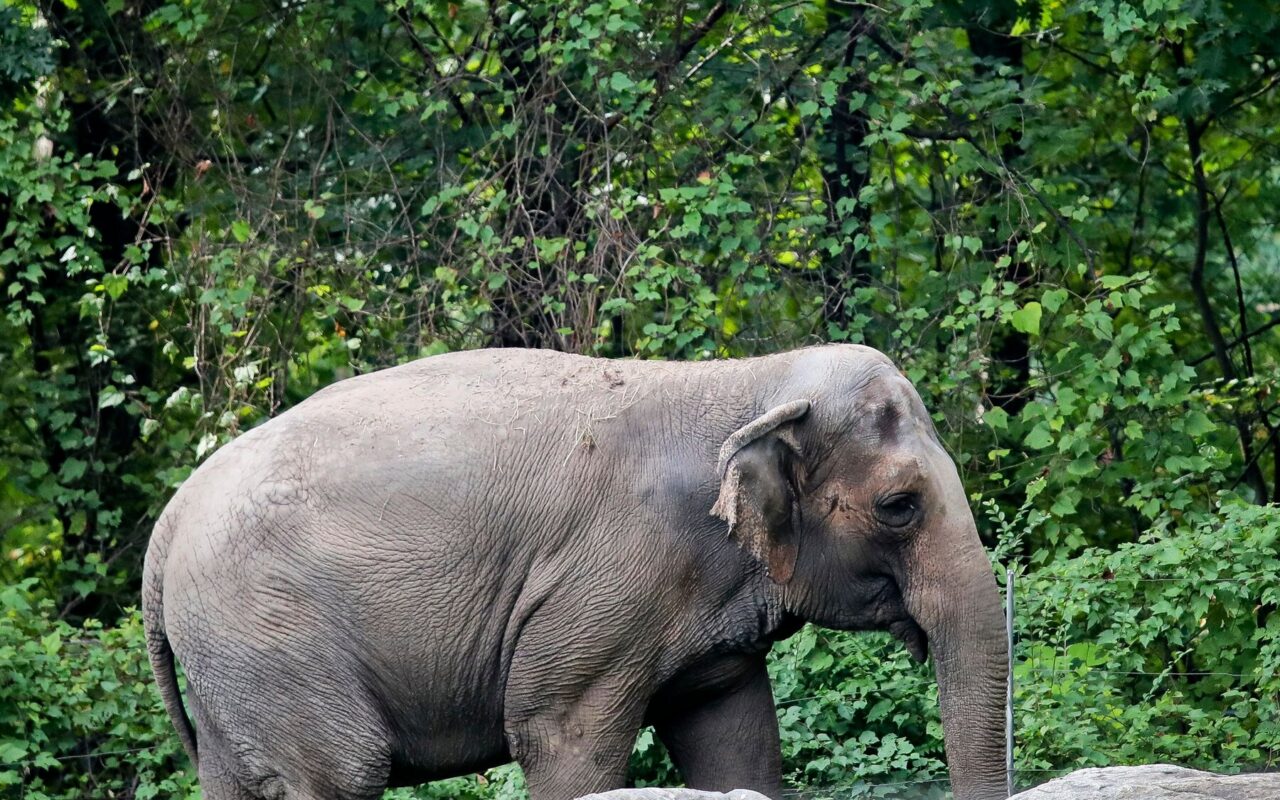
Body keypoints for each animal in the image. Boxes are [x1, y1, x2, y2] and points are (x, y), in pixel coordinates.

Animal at [142, 344, 1008, 800]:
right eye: (899, 506)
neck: (744, 378)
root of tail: (169, 519)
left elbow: (736, 742)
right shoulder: (607, 586)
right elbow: (563, 738)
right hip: (269, 633)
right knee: (340, 773)